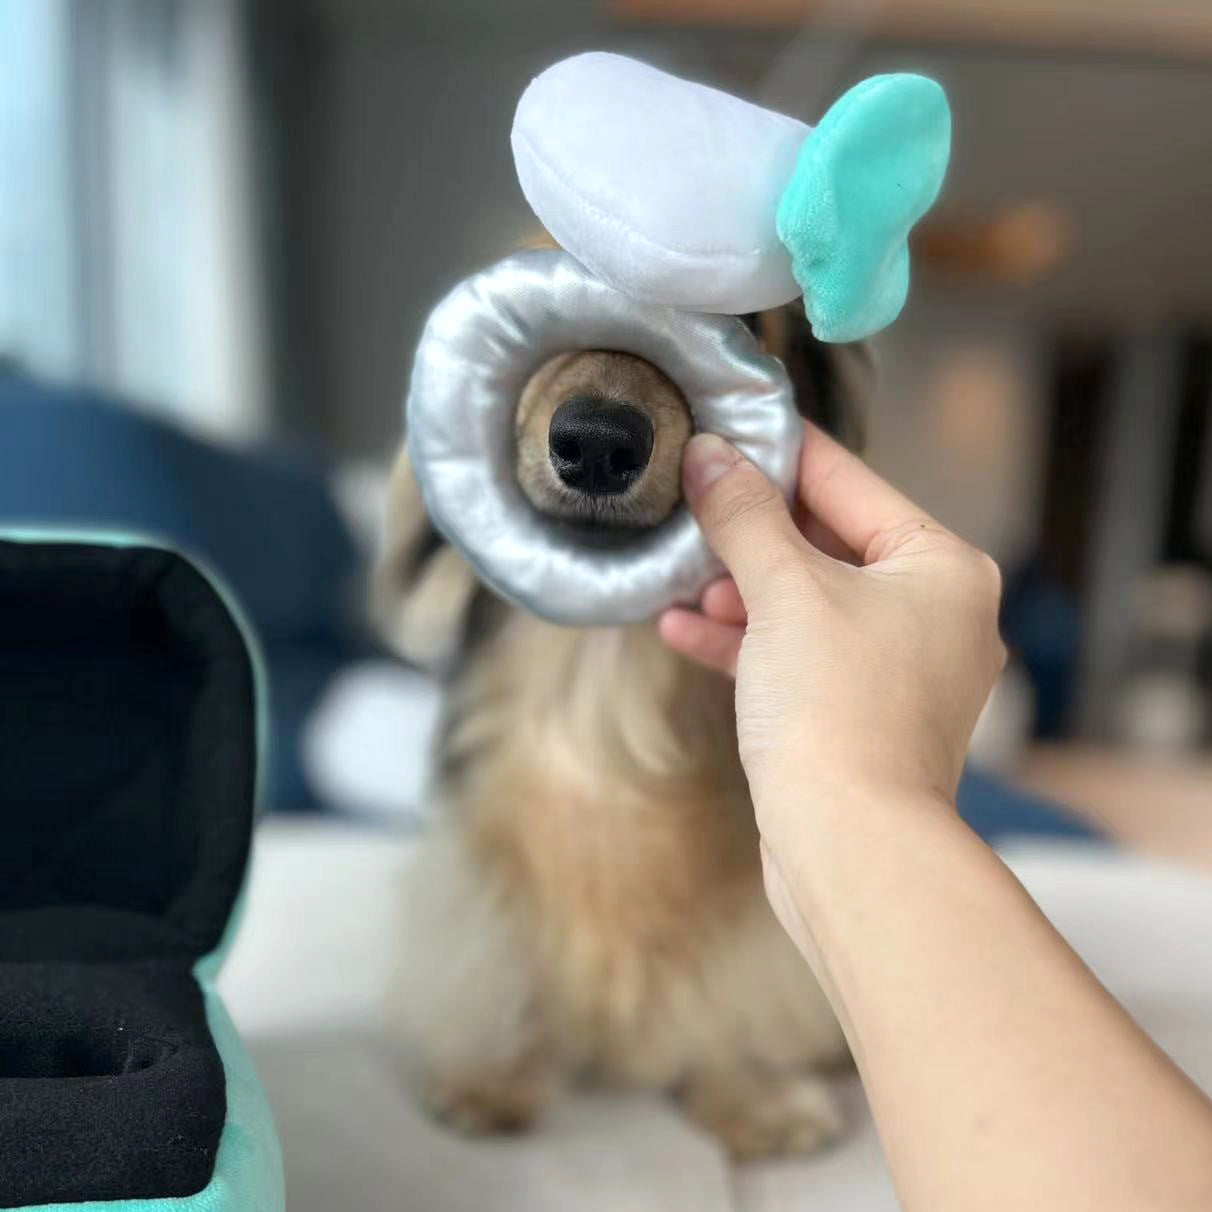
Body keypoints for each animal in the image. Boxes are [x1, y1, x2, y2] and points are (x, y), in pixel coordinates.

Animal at [376, 272, 873, 1158]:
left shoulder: (752, 896)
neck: (604, 683)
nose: (598, 445)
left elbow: (741, 989)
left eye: (745, 321)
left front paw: (753, 1095)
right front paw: (494, 1074)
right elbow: (507, 957)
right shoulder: (487, 860)